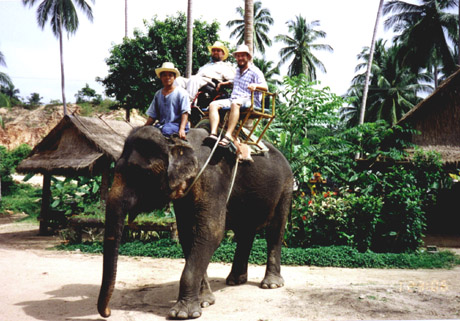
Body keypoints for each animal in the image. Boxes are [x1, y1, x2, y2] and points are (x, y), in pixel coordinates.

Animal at [97, 125, 292, 318]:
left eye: (141, 173)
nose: (108, 312)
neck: (179, 142)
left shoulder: (212, 179)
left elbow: (211, 232)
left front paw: (183, 313)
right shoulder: (185, 193)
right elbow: (188, 234)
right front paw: (205, 301)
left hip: (286, 188)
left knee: (275, 231)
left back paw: (271, 284)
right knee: (245, 232)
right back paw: (235, 281)